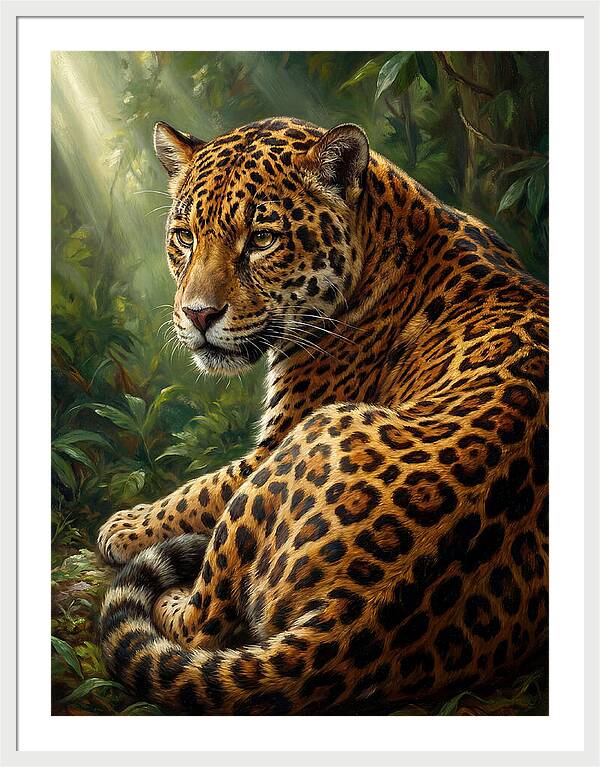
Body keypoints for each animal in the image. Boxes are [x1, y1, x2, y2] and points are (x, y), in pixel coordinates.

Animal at [98, 116, 549, 715]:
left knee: (203, 625)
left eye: (262, 239)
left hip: (304, 441)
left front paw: (125, 526)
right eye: (186, 236)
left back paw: (173, 592)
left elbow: (200, 490)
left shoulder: (277, 439)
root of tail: (355, 616)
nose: (197, 314)